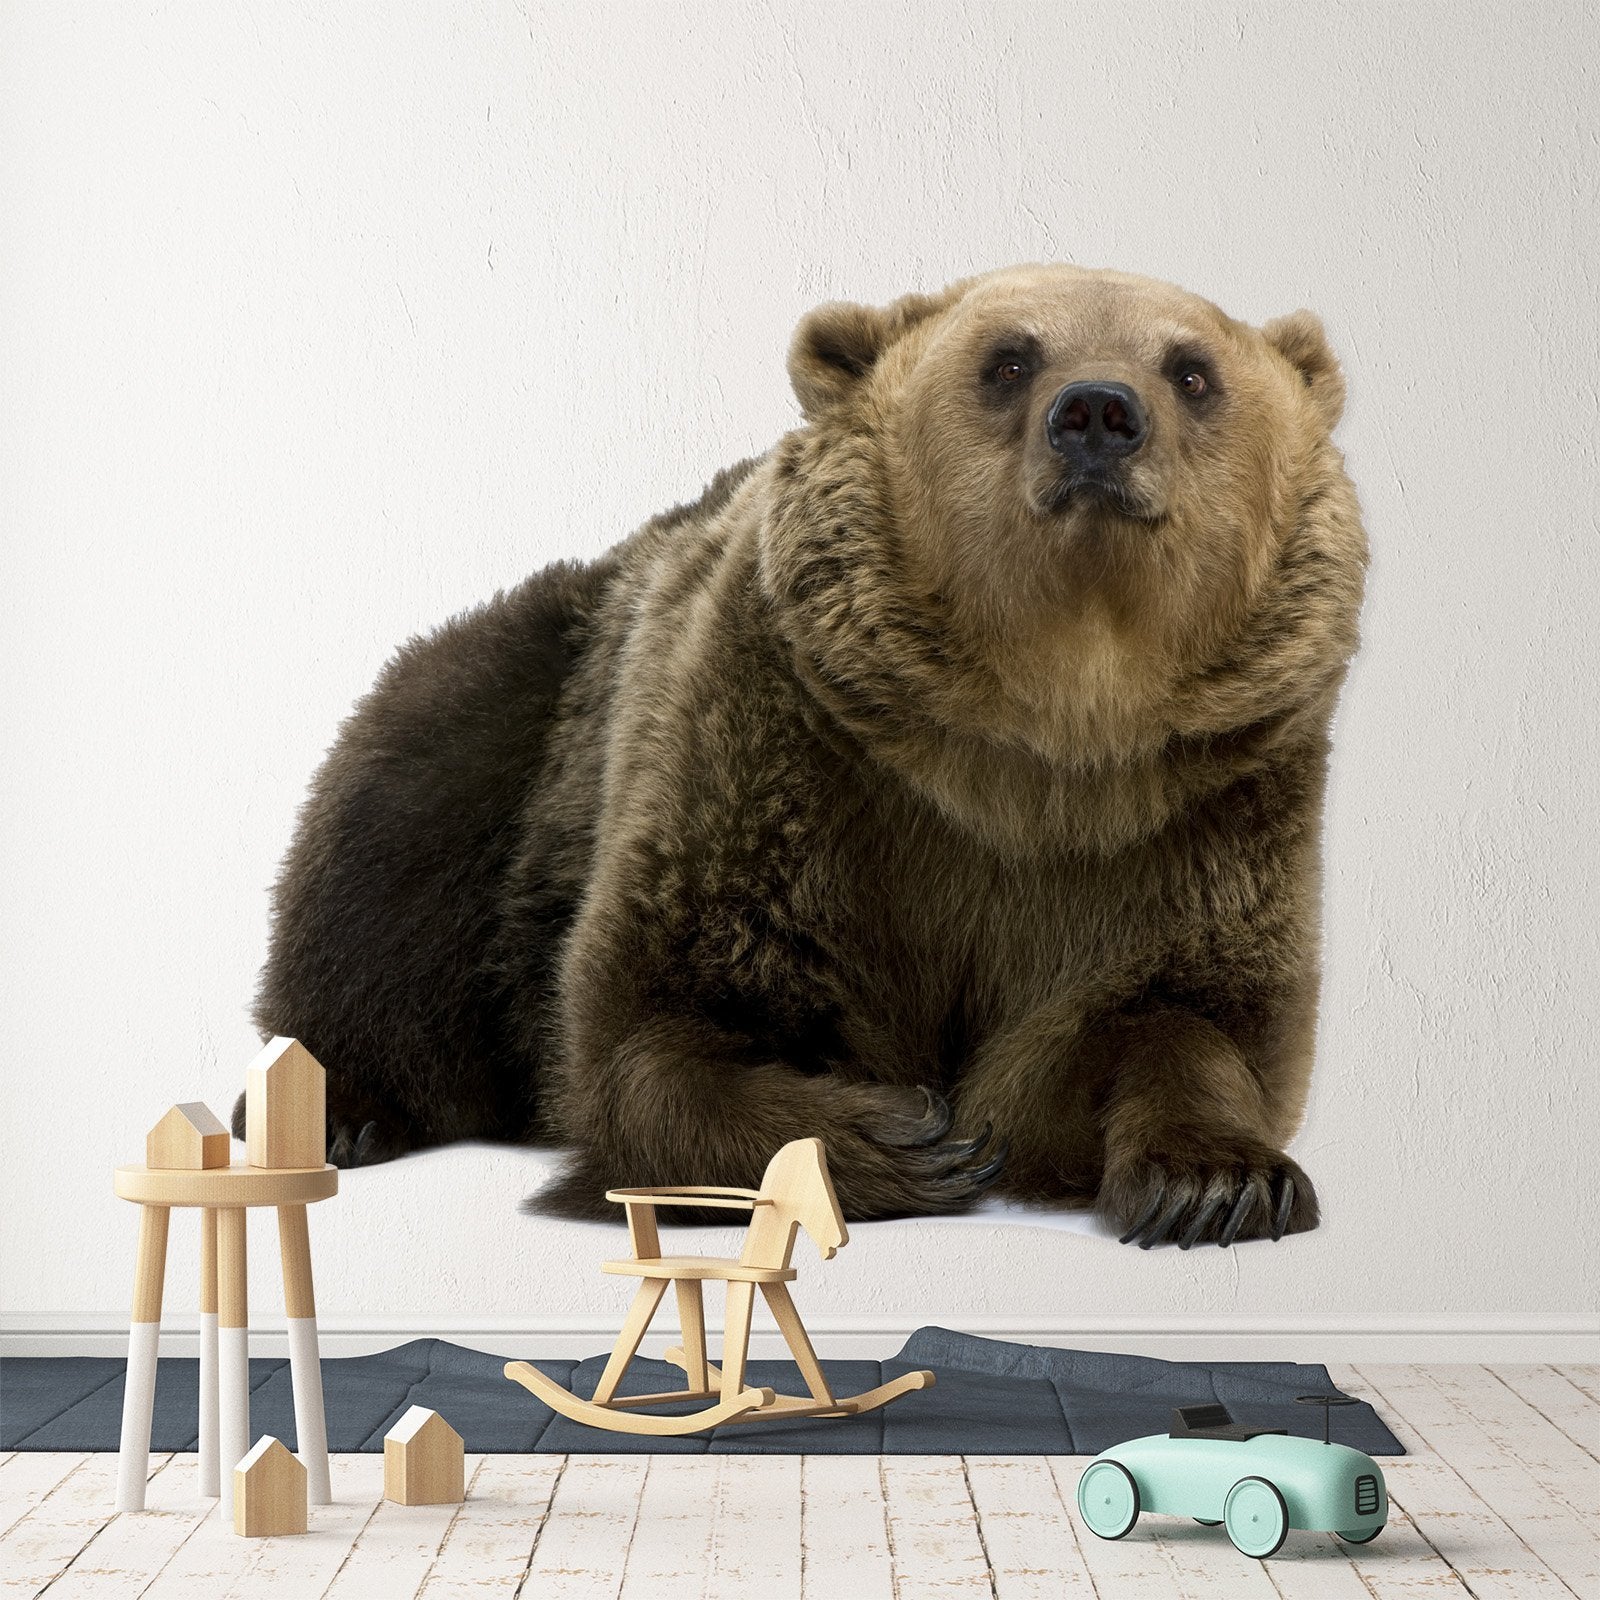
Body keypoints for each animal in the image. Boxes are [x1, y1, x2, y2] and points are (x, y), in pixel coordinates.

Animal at [243, 263, 1367, 1248]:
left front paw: (1216, 1183)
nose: (1097, 411)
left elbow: (1183, 1013)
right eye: (1008, 359)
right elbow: (657, 1019)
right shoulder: (780, 751)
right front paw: (902, 1137)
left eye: (1192, 369)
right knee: (396, 823)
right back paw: (338, 1108)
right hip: (525, 732)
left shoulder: (1202, 809)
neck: (1037, 738)